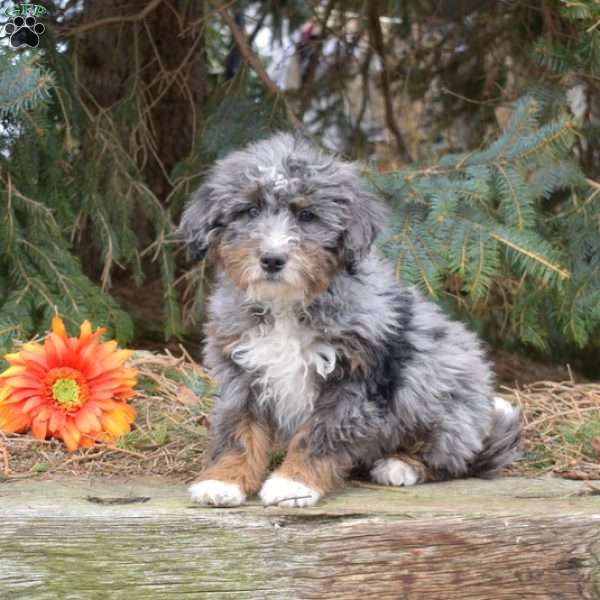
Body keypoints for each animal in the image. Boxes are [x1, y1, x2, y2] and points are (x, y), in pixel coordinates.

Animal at [178, 132, 520, 506]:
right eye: (249, 210)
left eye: (307, 215)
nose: (272, 259)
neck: (287, 304)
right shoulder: (242, 373)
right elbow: (238, 430)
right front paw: (224, 480)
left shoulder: (353, 378)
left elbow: (320, 434)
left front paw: (293, 483)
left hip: (436, 386)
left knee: (451, 457)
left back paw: (400, 465)